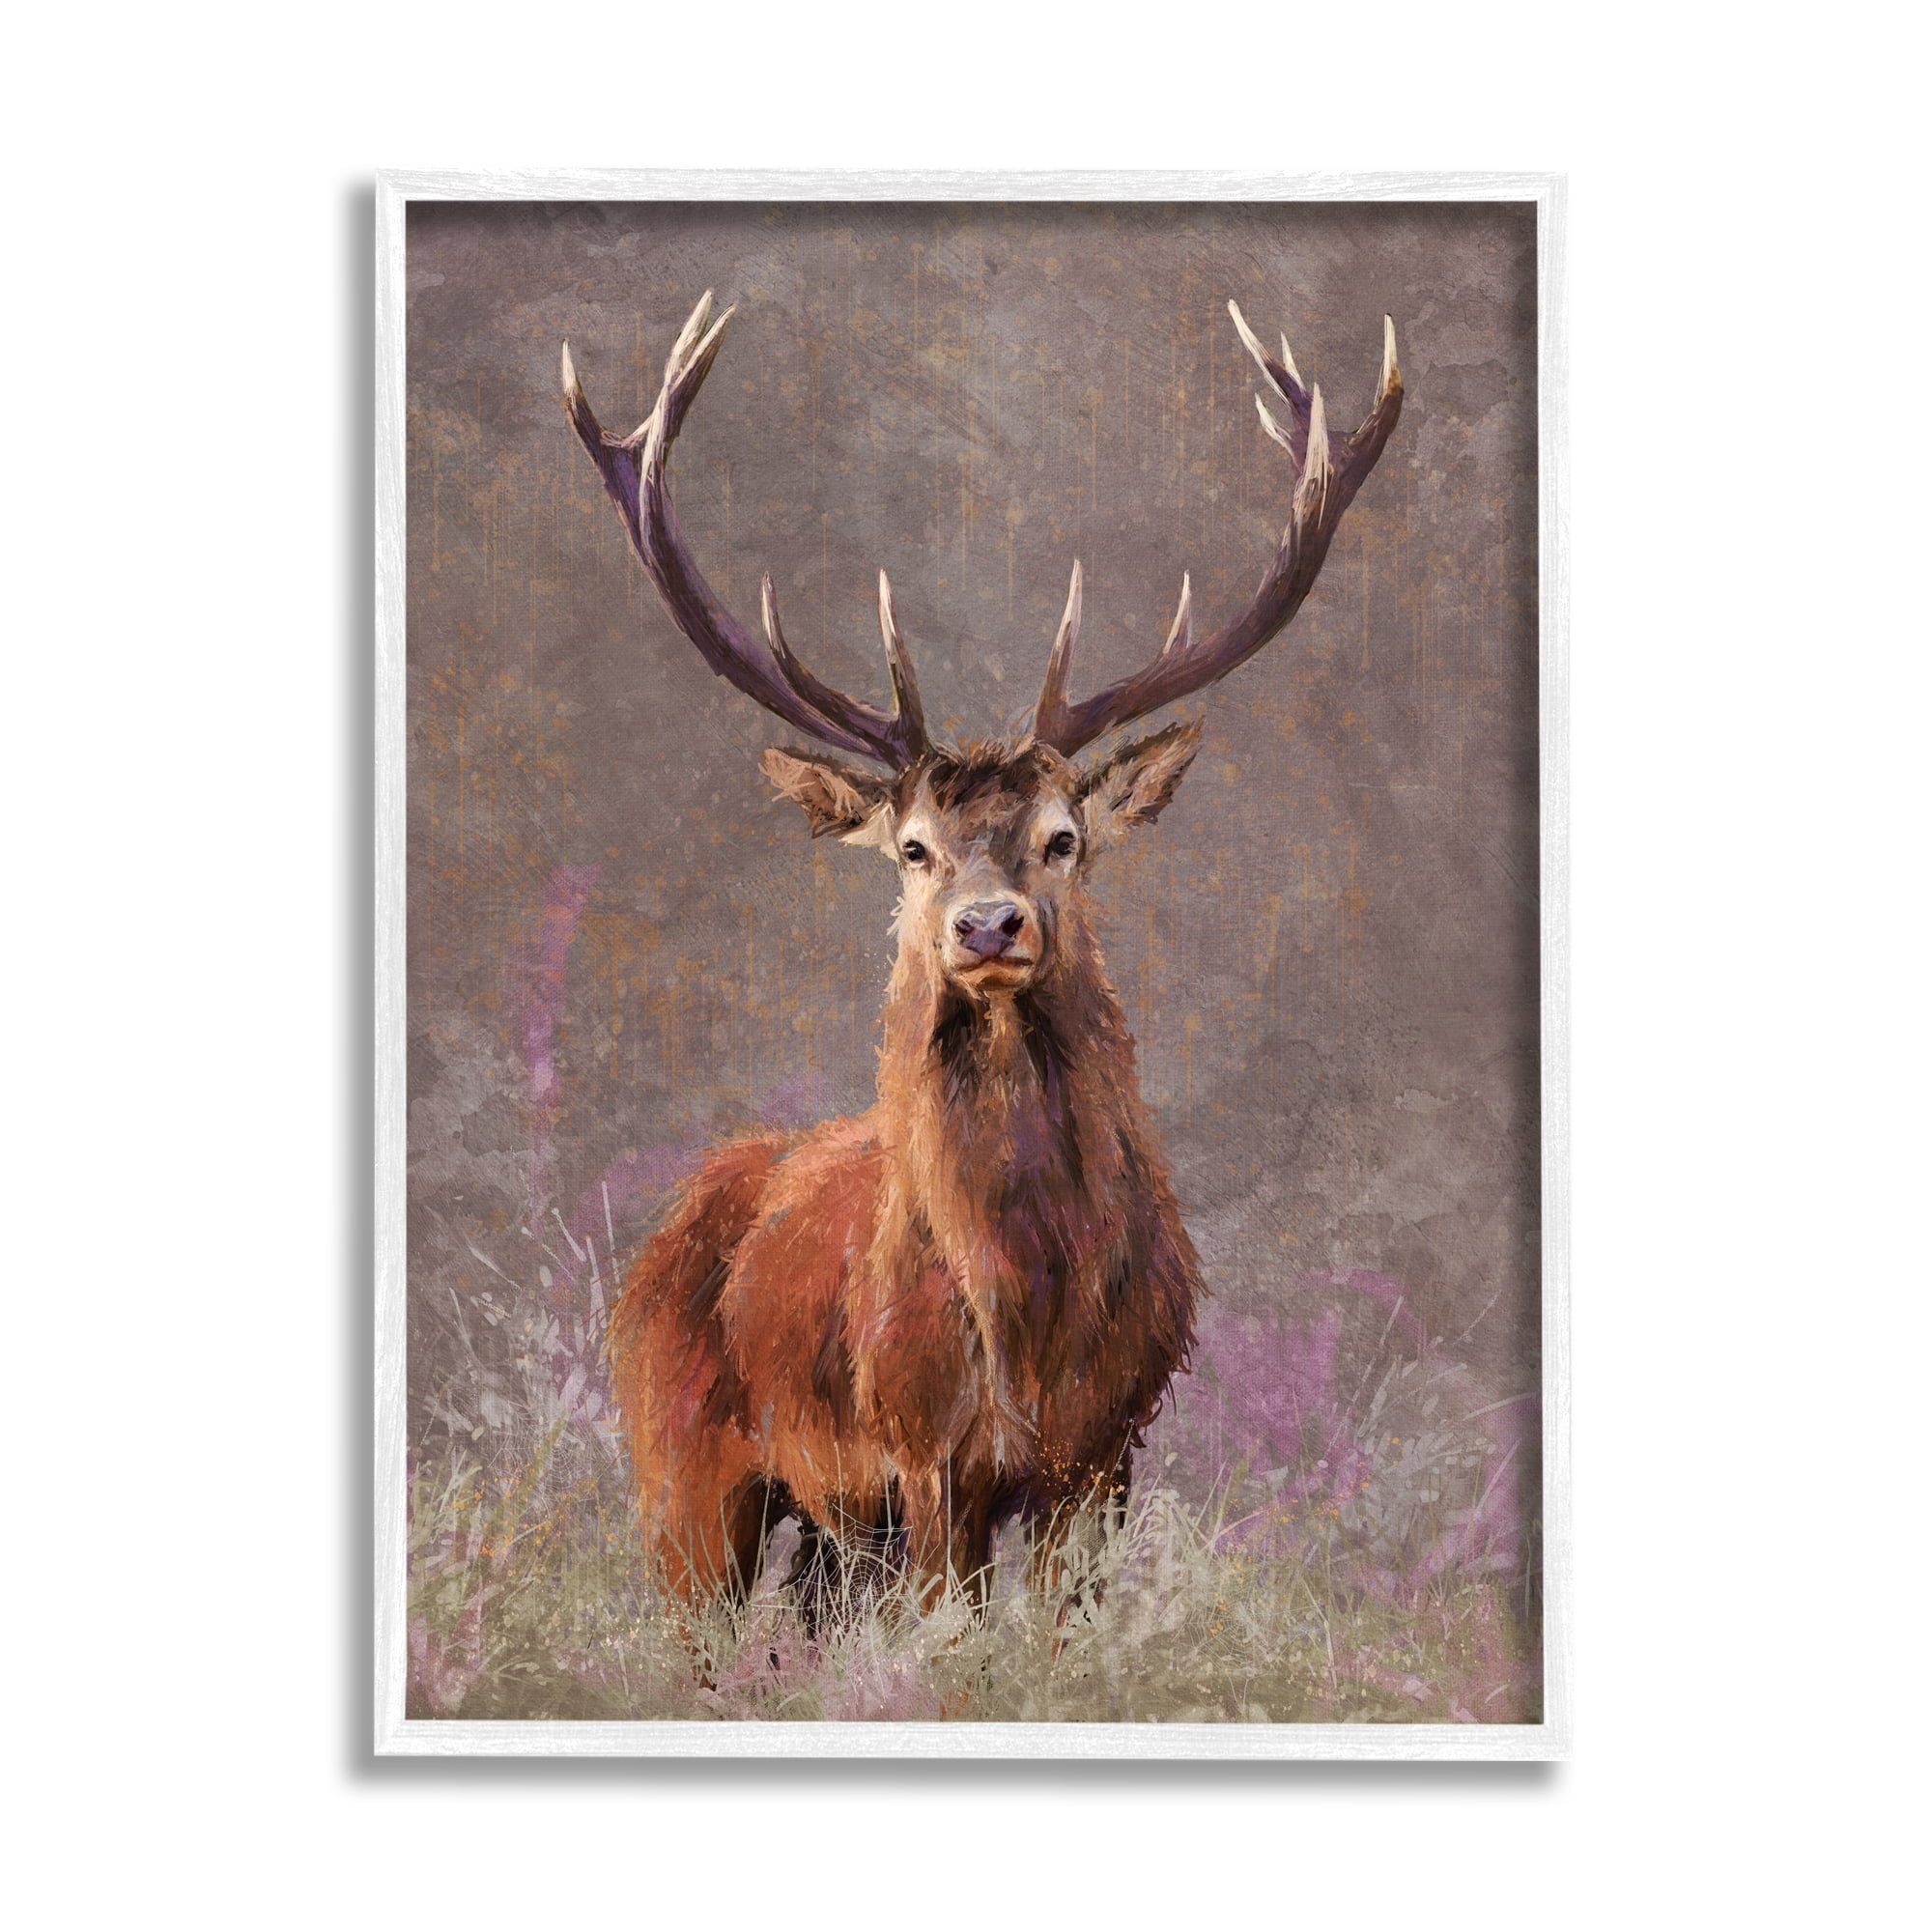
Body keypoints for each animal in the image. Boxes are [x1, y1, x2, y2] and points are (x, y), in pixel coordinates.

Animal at [560, 288, 1402, 1619]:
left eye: (1063, 837)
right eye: (911, 848)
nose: (987, 925)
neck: (1027, 1322)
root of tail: (680, 1212)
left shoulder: (1108, 1445)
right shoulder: (917, 1447)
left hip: (831, 1531)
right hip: (680, 1465)